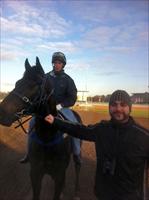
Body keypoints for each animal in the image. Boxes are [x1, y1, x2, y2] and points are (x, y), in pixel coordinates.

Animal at [0, 57, 82, 200]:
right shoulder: (35, 174)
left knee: (77, 167)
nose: (2, 112)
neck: (47, 138)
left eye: (35, 85)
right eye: (17, 82)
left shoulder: (59, 176)